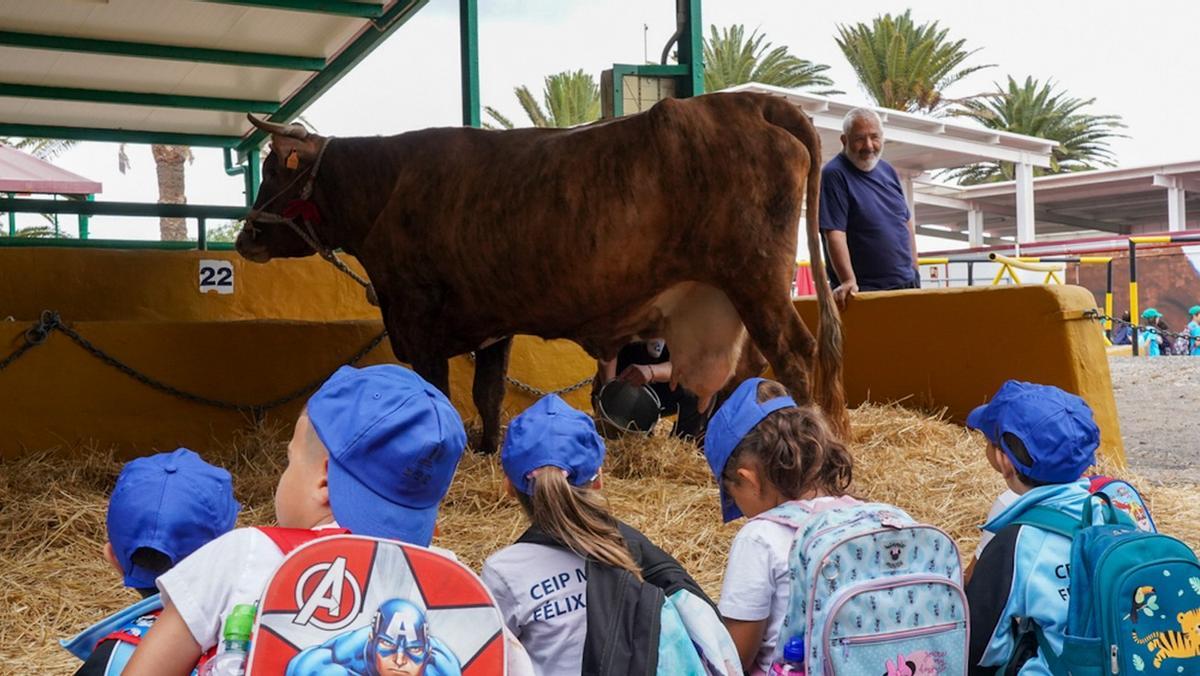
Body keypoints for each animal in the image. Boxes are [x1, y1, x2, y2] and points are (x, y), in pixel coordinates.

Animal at [238, 88, 849, 449]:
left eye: (275, 169)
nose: (245, 237)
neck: (390, 185)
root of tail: (750, 100)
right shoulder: (492, 323)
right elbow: (486, 393)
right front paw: (486, 450)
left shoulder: (417, 315)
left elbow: (437, 391)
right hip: (725, 296)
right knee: (744, 370)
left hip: (756, 280)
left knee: (794, 355)